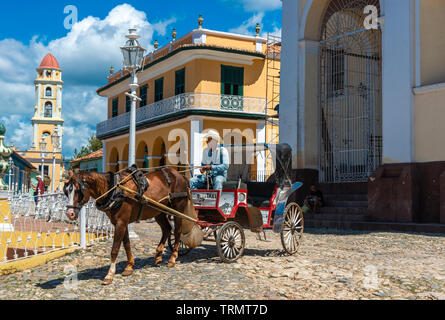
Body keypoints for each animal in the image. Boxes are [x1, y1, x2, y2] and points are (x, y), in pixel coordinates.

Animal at [63, 168, 201, 284]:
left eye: (78, 190)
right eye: (67, 191)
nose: (70, 213)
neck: (115, 190)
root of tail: (180, 175)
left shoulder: (121, 223)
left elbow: (115, 249)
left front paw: (110, 274)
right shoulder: (120, 223)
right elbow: (127, 244)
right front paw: (129, 266)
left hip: (178, 209)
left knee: (177, 231)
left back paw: (172, 258)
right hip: (158, 211)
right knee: (166, 229)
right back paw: (158, 255)